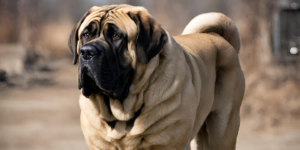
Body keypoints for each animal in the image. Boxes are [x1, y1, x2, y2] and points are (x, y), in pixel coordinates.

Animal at [68, 4, 246, 150]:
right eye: (85, 34)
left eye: (116, 36)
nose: (87, 52)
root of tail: (219, 37)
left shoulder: (169, 144)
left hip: (222, 128)